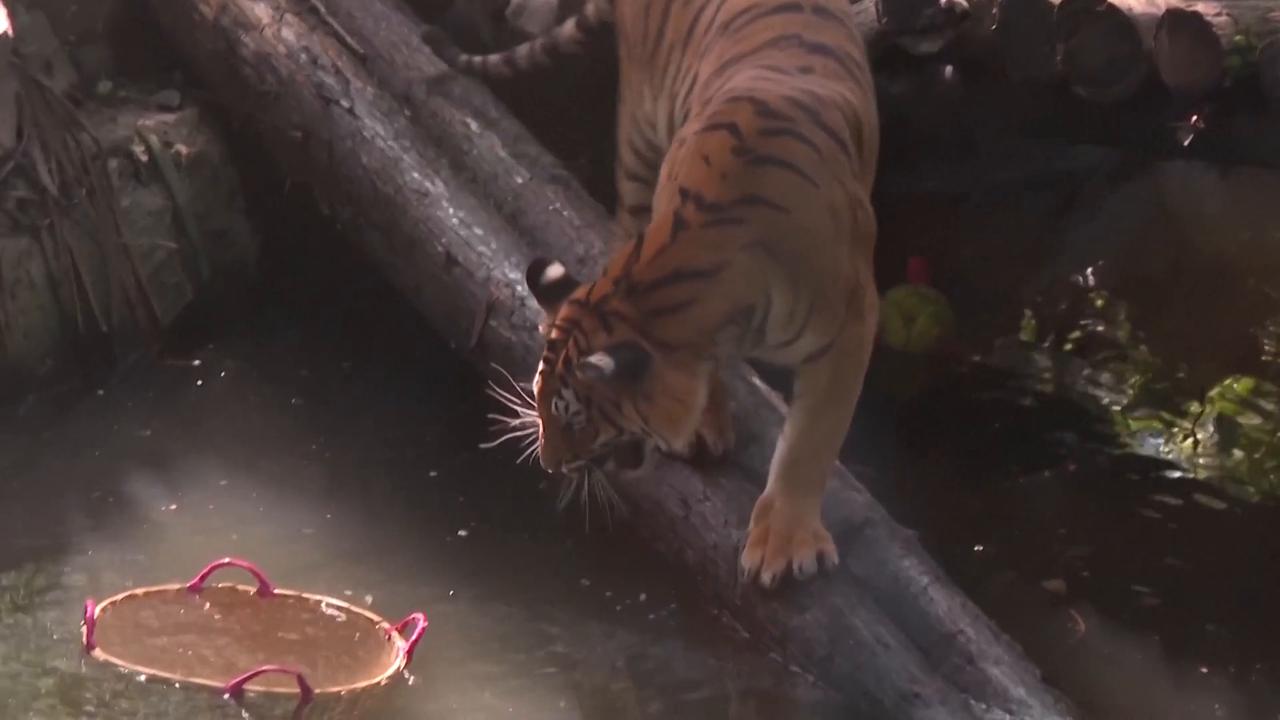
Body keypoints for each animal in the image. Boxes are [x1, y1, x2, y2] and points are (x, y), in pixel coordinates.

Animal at [424, 0, 880, 589]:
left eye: (574, 419)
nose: (549, 463)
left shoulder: (851, 321)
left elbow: (811, 440)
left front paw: (783, 542)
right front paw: (703, 424)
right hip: (639, 140)